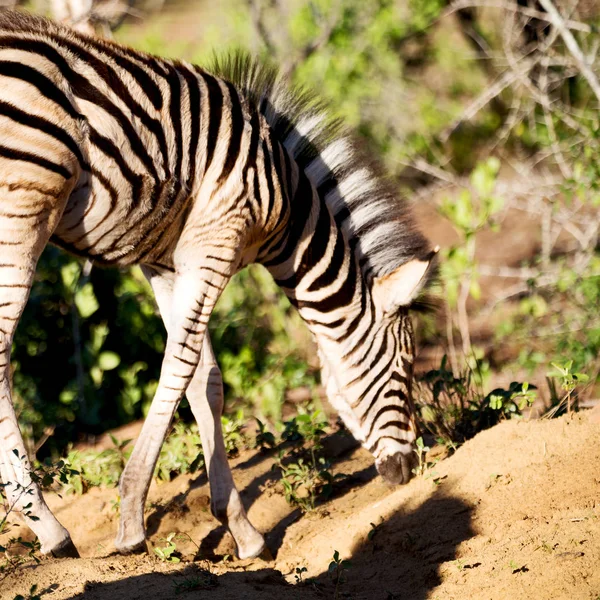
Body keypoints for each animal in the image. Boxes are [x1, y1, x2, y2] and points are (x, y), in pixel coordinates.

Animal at [0, 9, 436, 560]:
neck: (291, 207)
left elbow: (204, 380)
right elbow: (181, 364)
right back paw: (50, 530)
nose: (409, 472)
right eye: (404, 367)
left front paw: (241, 529)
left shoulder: (166, 260)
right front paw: (130, 522)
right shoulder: (217, 237)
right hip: (24, 207)